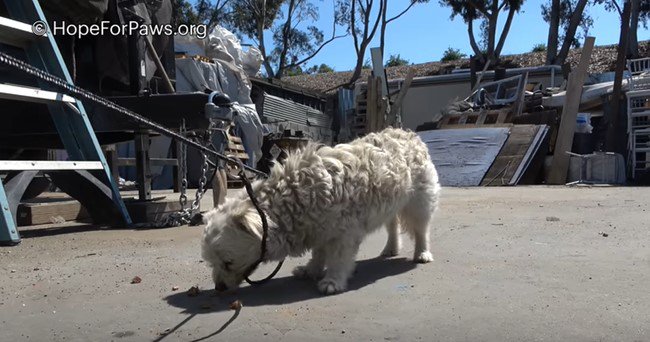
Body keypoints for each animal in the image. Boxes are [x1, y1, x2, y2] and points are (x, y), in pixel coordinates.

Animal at [200, 127, 438, 296]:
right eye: (212, 262)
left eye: (228, 263)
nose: (219, 287)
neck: (294, 195)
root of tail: (409, 134)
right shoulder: (319, 228)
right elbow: (318, 253)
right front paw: (311, 270)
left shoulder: (344, 233)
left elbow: (338, 258)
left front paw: (333, 281)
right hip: (392, 202)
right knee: (392, 225)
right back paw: (391, 248)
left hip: (419, 202)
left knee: (422, 229)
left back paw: (422, 253)